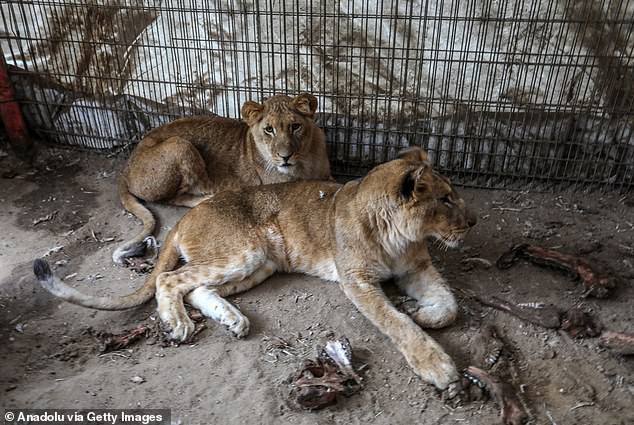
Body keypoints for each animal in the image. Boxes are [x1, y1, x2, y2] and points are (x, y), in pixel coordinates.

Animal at [33, 147, 474, 390]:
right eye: (445, 200)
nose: (471, 224)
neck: (398, 237)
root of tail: (187, 216)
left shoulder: (416, 267)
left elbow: (450, 305)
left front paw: (423, 312)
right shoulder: (357, 281)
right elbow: (395, 322)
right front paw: (436, 365)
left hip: (260, 262)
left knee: (197, 288)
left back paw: (233, 321)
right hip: (242, 251)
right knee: (171, 279)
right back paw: (178, 324)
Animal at [114, 94, 330, 264]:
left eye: (295, 126)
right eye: (269, 129)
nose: (285, 157)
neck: (305, 161)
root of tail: (126, 168)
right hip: (180, 145)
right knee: (170, 198)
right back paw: (205, 198)